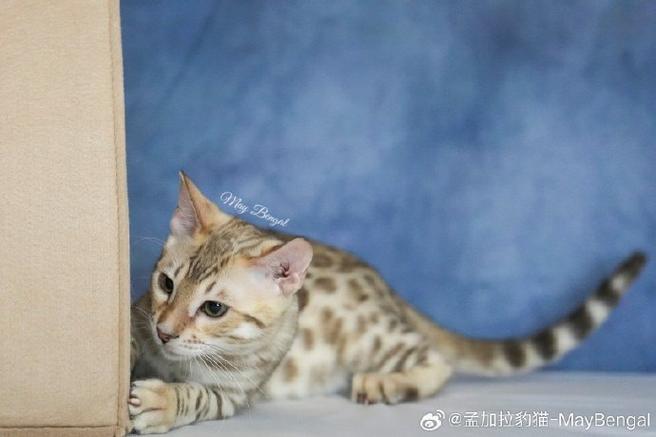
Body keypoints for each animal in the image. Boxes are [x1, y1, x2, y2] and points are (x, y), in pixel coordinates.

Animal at [129, 172, 647, 434]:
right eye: (166, 284)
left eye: (214, 309)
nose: (165, 331)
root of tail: (382, 282)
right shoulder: (139, 314)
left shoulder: (237, 392)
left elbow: (200, 395)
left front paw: (160, 400)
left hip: (371, 337)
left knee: (436, 360)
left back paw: (387, 383)